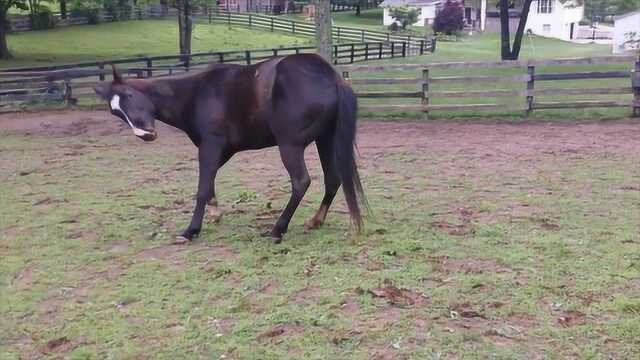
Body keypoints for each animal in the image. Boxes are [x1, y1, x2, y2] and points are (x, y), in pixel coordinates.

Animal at [93, 53, 368, 243]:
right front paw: (215, 213)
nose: (145, 134)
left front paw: (191, 230)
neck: (196, 94)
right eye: (115, 112)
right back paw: (315, 221)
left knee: (301, 182)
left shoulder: (210, 146)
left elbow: (202, 187)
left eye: (129, 96)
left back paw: (277, 229)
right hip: (325, 140)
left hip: (290, 146)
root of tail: (331, 77)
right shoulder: (221, 150)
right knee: (333, 179)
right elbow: (210, 181)